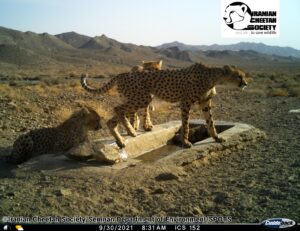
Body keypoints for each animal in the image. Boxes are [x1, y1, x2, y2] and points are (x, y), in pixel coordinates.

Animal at [81, 63, 248, 148]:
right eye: (239, 76)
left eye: (243, 75)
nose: (245, 83)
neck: (213, 77)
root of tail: (122, 73)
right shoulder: (185, 102)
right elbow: (186, 125)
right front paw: (186, 142)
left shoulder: (205, 102)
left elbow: (210, 122)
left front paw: (217, 137)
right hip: (142, 98)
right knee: (117, 109)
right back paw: (130, 132)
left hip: (137, 98)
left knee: (114, 117)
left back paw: (122, 139)